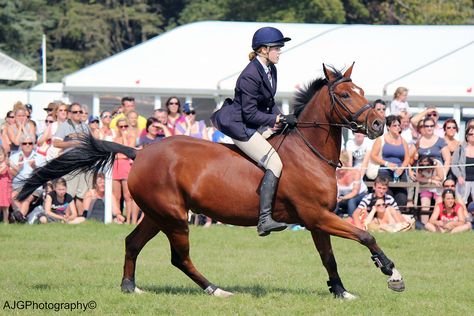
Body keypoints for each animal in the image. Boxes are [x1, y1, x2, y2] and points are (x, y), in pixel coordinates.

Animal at [16, 63, 406, 298]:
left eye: (361, 89)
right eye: (344, 94)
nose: (378, 124)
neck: (310, 151)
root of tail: (141, 153)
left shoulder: (316, 220)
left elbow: (329, 259)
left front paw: (341, 292)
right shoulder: (316, 215)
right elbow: (365, 235)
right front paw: (391, 272)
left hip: (158, 214)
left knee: (132, 243)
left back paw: (130, 287)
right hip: (174, 217)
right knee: (179, 258)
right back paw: (216, 290)